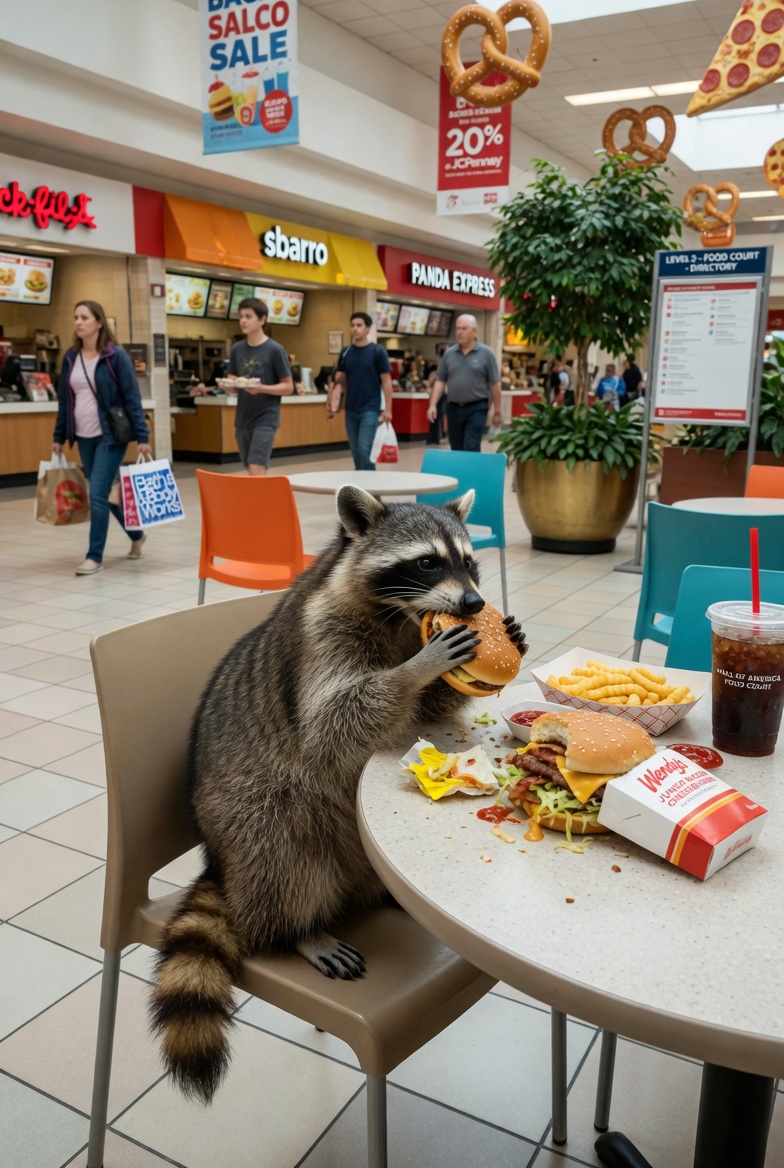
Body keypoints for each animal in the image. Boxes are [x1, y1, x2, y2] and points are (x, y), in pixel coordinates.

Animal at [150, 485, 526, 1103]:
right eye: (428, 562)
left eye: (470, 563)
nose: (475, 604)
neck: (402, 616)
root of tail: (220, 860)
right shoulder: (324, 633)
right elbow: (333, 722)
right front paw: (416, 669)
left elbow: (428, 708)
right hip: (251, 809)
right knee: (281, 851)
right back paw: (295, 931)